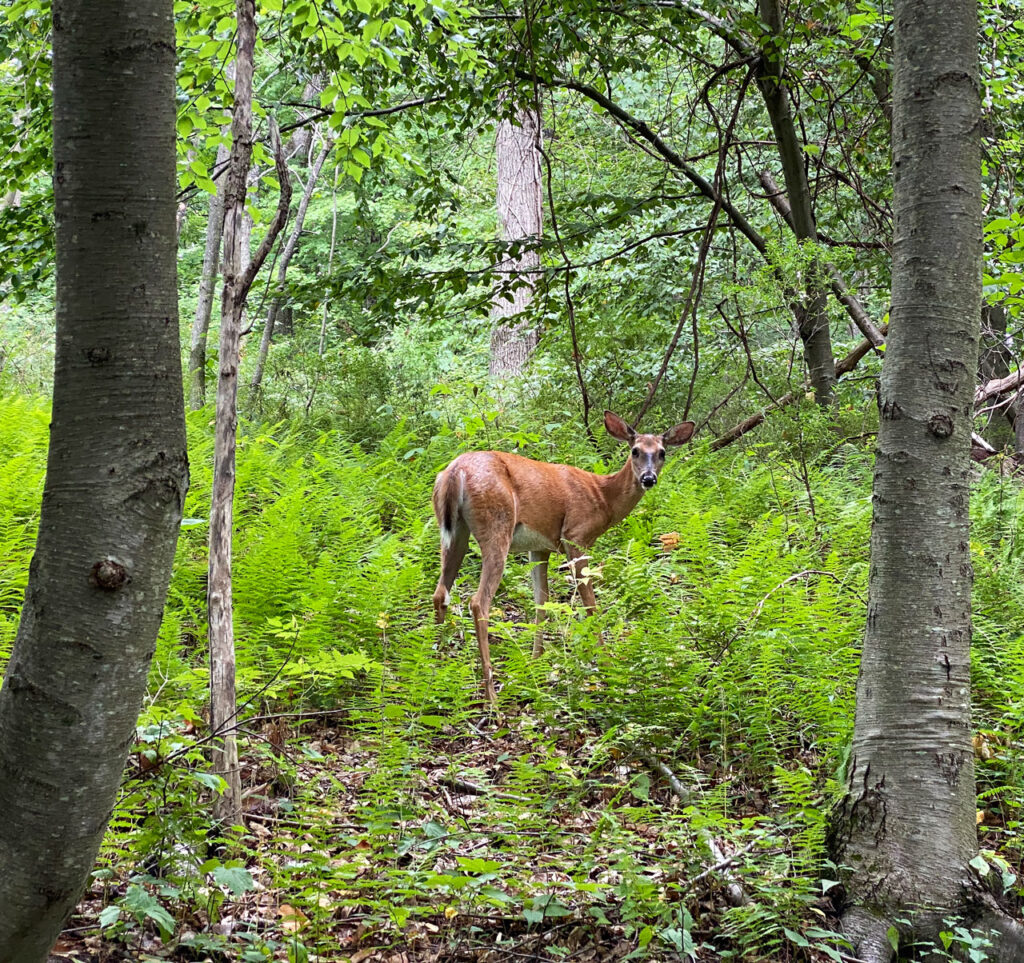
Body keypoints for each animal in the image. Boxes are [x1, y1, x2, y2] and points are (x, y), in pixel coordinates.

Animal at [432, 410, 696, 703]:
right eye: (635, 450)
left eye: (662, 452)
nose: (648, 478)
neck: (603, 497)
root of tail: (455, 472)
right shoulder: (575, 536)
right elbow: (589, 602)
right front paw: (606, 664)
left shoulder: (539, 547)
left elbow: (542, 603)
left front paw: (535, 664)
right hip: (497, 526)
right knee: (479, 602)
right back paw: (491, 697)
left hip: (454, 532)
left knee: (440, 593)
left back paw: (439, 672)